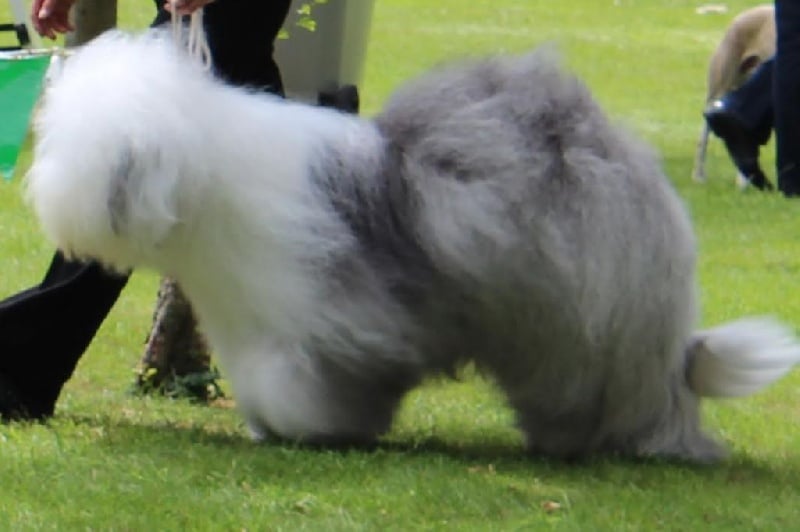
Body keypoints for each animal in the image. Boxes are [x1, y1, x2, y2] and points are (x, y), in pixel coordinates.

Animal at [26, 30, 800, 462]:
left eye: (73, 146)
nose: (42, 195)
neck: (202, 175)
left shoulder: (312, 321)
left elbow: (304, 384)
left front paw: (311, 428)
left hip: (594, 318)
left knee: (640, 391)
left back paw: (633, 442)